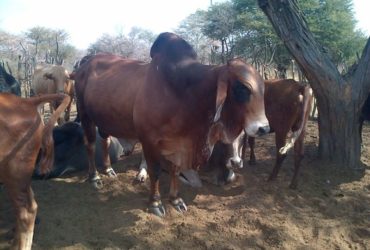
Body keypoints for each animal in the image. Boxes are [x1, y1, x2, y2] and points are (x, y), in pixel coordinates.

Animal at [73, 32, 268, 217]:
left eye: (263, 87)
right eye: (242, 88)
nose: (264, 128)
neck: (184, 92)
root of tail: (85, 63)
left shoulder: (179, 142)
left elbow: (175, 169)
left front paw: (175, 200)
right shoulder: (149, 140)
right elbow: (155, 171)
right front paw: (155, 203)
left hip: (102, 119)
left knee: (105, 140)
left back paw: (108, 169)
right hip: (84, 114)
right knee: (90, 144)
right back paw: (95, 177)